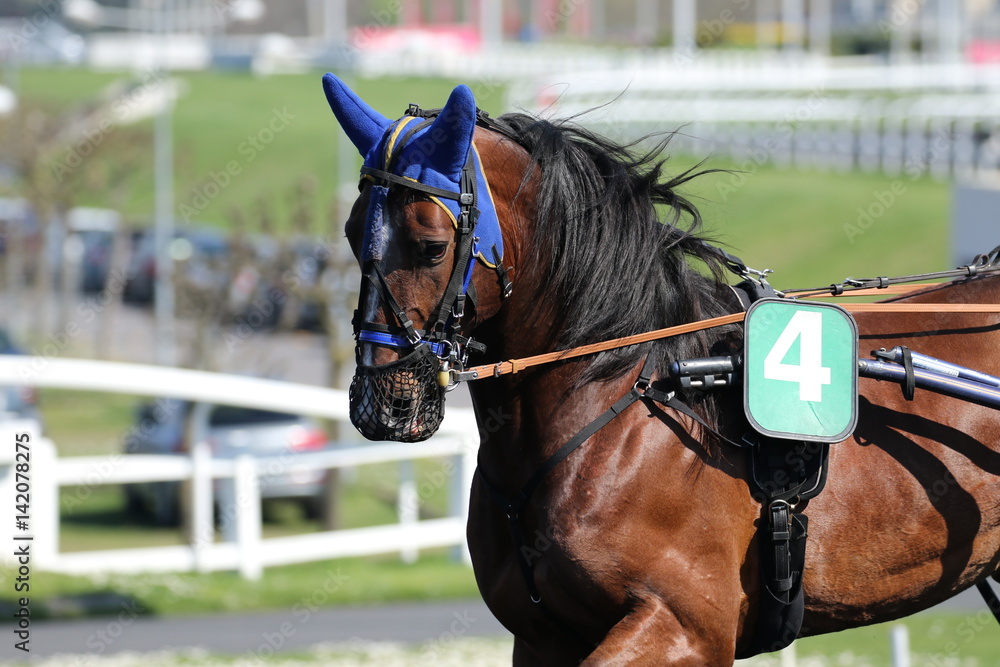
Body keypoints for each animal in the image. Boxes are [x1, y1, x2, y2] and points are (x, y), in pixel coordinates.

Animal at [321, 73, 1000, 664]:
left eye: (432, 245)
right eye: (353, 233)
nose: (381, 402)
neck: (635, 393)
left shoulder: (684, 626)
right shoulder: (543, 638)